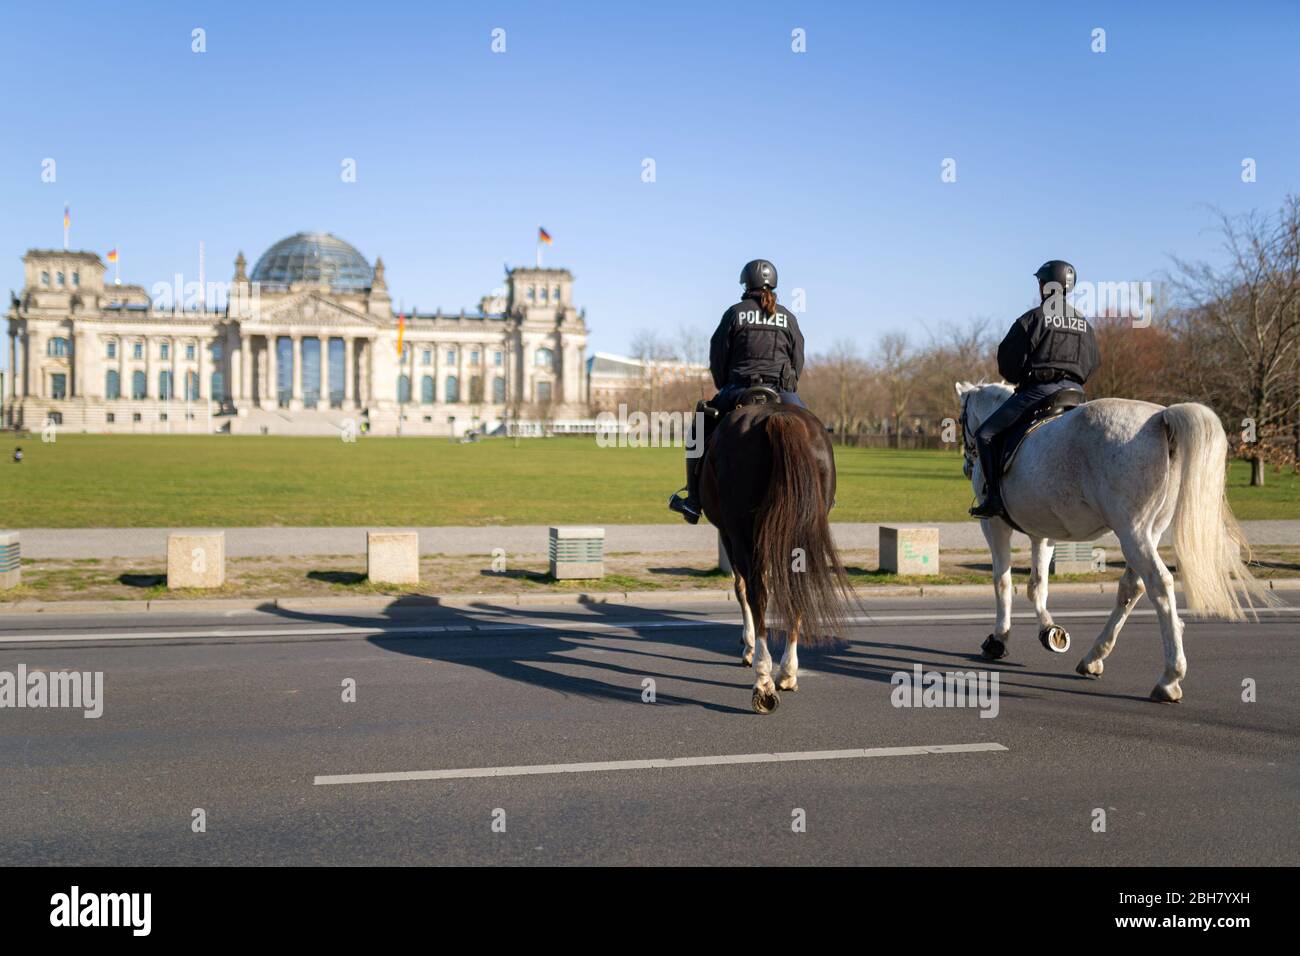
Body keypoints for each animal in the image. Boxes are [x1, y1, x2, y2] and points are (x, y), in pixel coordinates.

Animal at [702, 392, 852, 712]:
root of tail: (777, 416)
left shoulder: (729, 534)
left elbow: (741, 588)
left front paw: (747, 646)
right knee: (797, 591)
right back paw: (787, 672)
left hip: (742, 533)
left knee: (756, 593)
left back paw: (763, 680)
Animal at [951, 382, 1274, 702]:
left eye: (960, 419)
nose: (966, 464)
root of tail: (1161, 418)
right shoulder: (1042, 531)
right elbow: (1037, 585)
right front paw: (1049, 629)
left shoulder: (994, 526)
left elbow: (1003, 582)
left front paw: (999, 639)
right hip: (1148, 532)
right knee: (1133, 587)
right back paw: (1094, 657)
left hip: (1132, 531)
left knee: (1159, 583)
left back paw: (1169, 677)